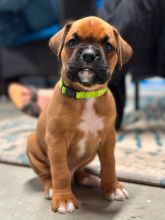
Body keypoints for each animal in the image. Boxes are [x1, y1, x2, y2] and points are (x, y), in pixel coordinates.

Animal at [27, 16, 133, 214]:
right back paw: (51, 188)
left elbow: (109, 164)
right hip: (33, 146)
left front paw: (112, 188)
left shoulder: (108, 138)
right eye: (72, 42)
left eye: (108, 46)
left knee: (77, 171)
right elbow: (59, 170)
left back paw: (86, 177)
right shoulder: (57, 140)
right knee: (46, 173)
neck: (86, 95)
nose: (89, 54)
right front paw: (63, 199)